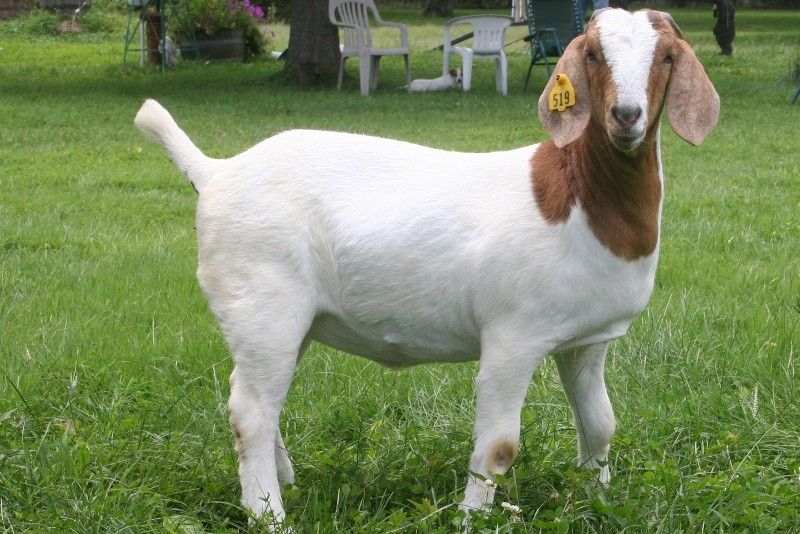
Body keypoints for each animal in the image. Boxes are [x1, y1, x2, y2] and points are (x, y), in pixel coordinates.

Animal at [134, 8, 718, 525]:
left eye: (667, 56)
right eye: (593, 53)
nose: (626, 116)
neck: (578, 196)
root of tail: (215, 172)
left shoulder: (586, 341)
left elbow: (600, 424)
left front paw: (595, 501)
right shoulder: (514, 336)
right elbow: (499, 446)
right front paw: (472, 518)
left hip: (283, 321)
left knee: (258, 397)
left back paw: (287, 484)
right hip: (262, 299)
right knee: (251, 413)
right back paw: (268, 514)